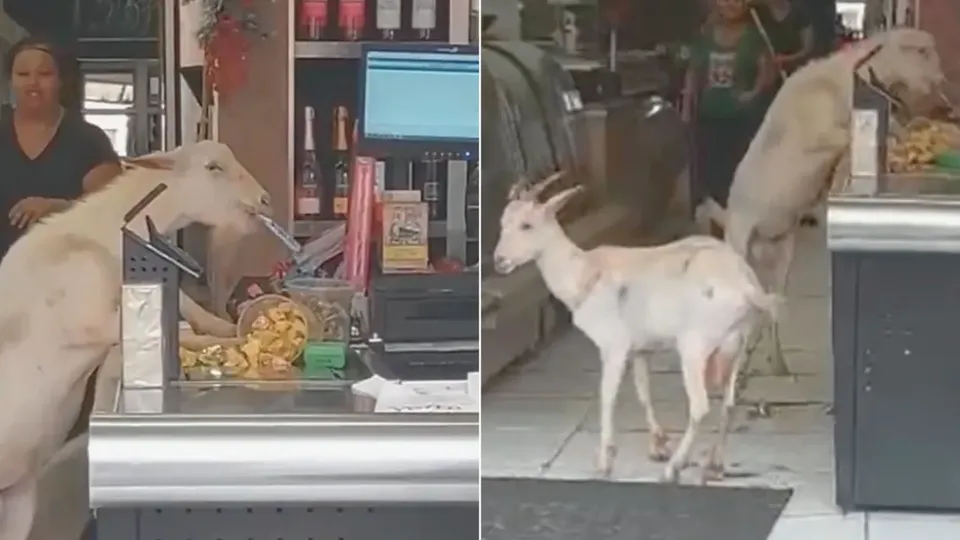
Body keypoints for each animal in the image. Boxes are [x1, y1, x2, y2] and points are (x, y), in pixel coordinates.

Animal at [0, 140, 274, 540]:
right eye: (213, 167)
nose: (265, 200)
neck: (103, 235)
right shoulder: (91, 316)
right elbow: (175, 329)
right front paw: (230, 343)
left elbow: (187, 306)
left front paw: (232, 326)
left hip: (19, 493)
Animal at [492, 173, 776, 486]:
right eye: (503, 222)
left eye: (527, 225)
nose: (499, 261)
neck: (584, 274)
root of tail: (747, 287)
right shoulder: (641, 349)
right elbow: (643, 391)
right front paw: (658, 444)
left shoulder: (614, 346)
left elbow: (608, 396)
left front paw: (605, 461)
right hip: (737, 343)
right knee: (729, 403)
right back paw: (714, 465)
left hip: (695, 345)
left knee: (700, 405)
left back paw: (674, 469)